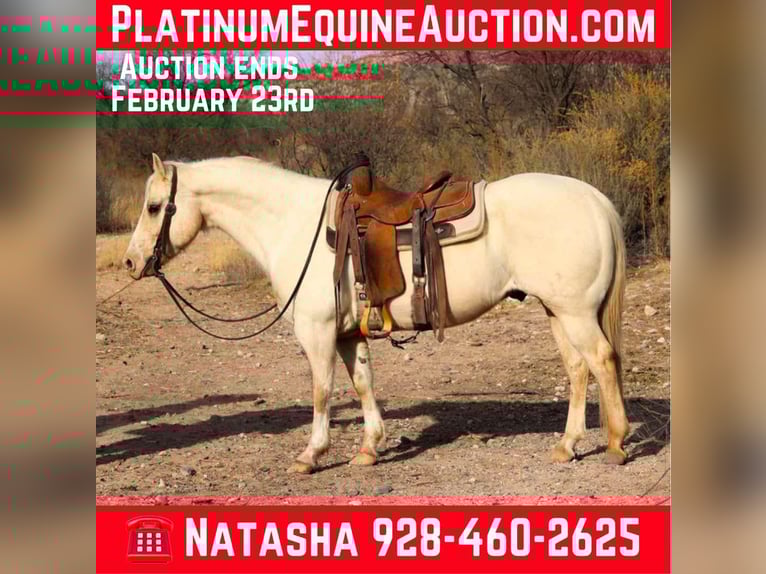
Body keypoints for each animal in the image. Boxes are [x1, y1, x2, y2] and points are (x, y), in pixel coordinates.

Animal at [123, 153, 629, 474]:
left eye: (154, 207)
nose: (131, 262)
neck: (294, 224)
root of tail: (595, 199)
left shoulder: (317, 332)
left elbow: (322, 392)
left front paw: (311, 455)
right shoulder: (349, 334)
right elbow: (363, 384)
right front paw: (368, 449)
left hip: (575, 313)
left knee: (602, 361)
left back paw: (616, 442)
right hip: (557, 311)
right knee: (578, 369)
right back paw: (566, 446)